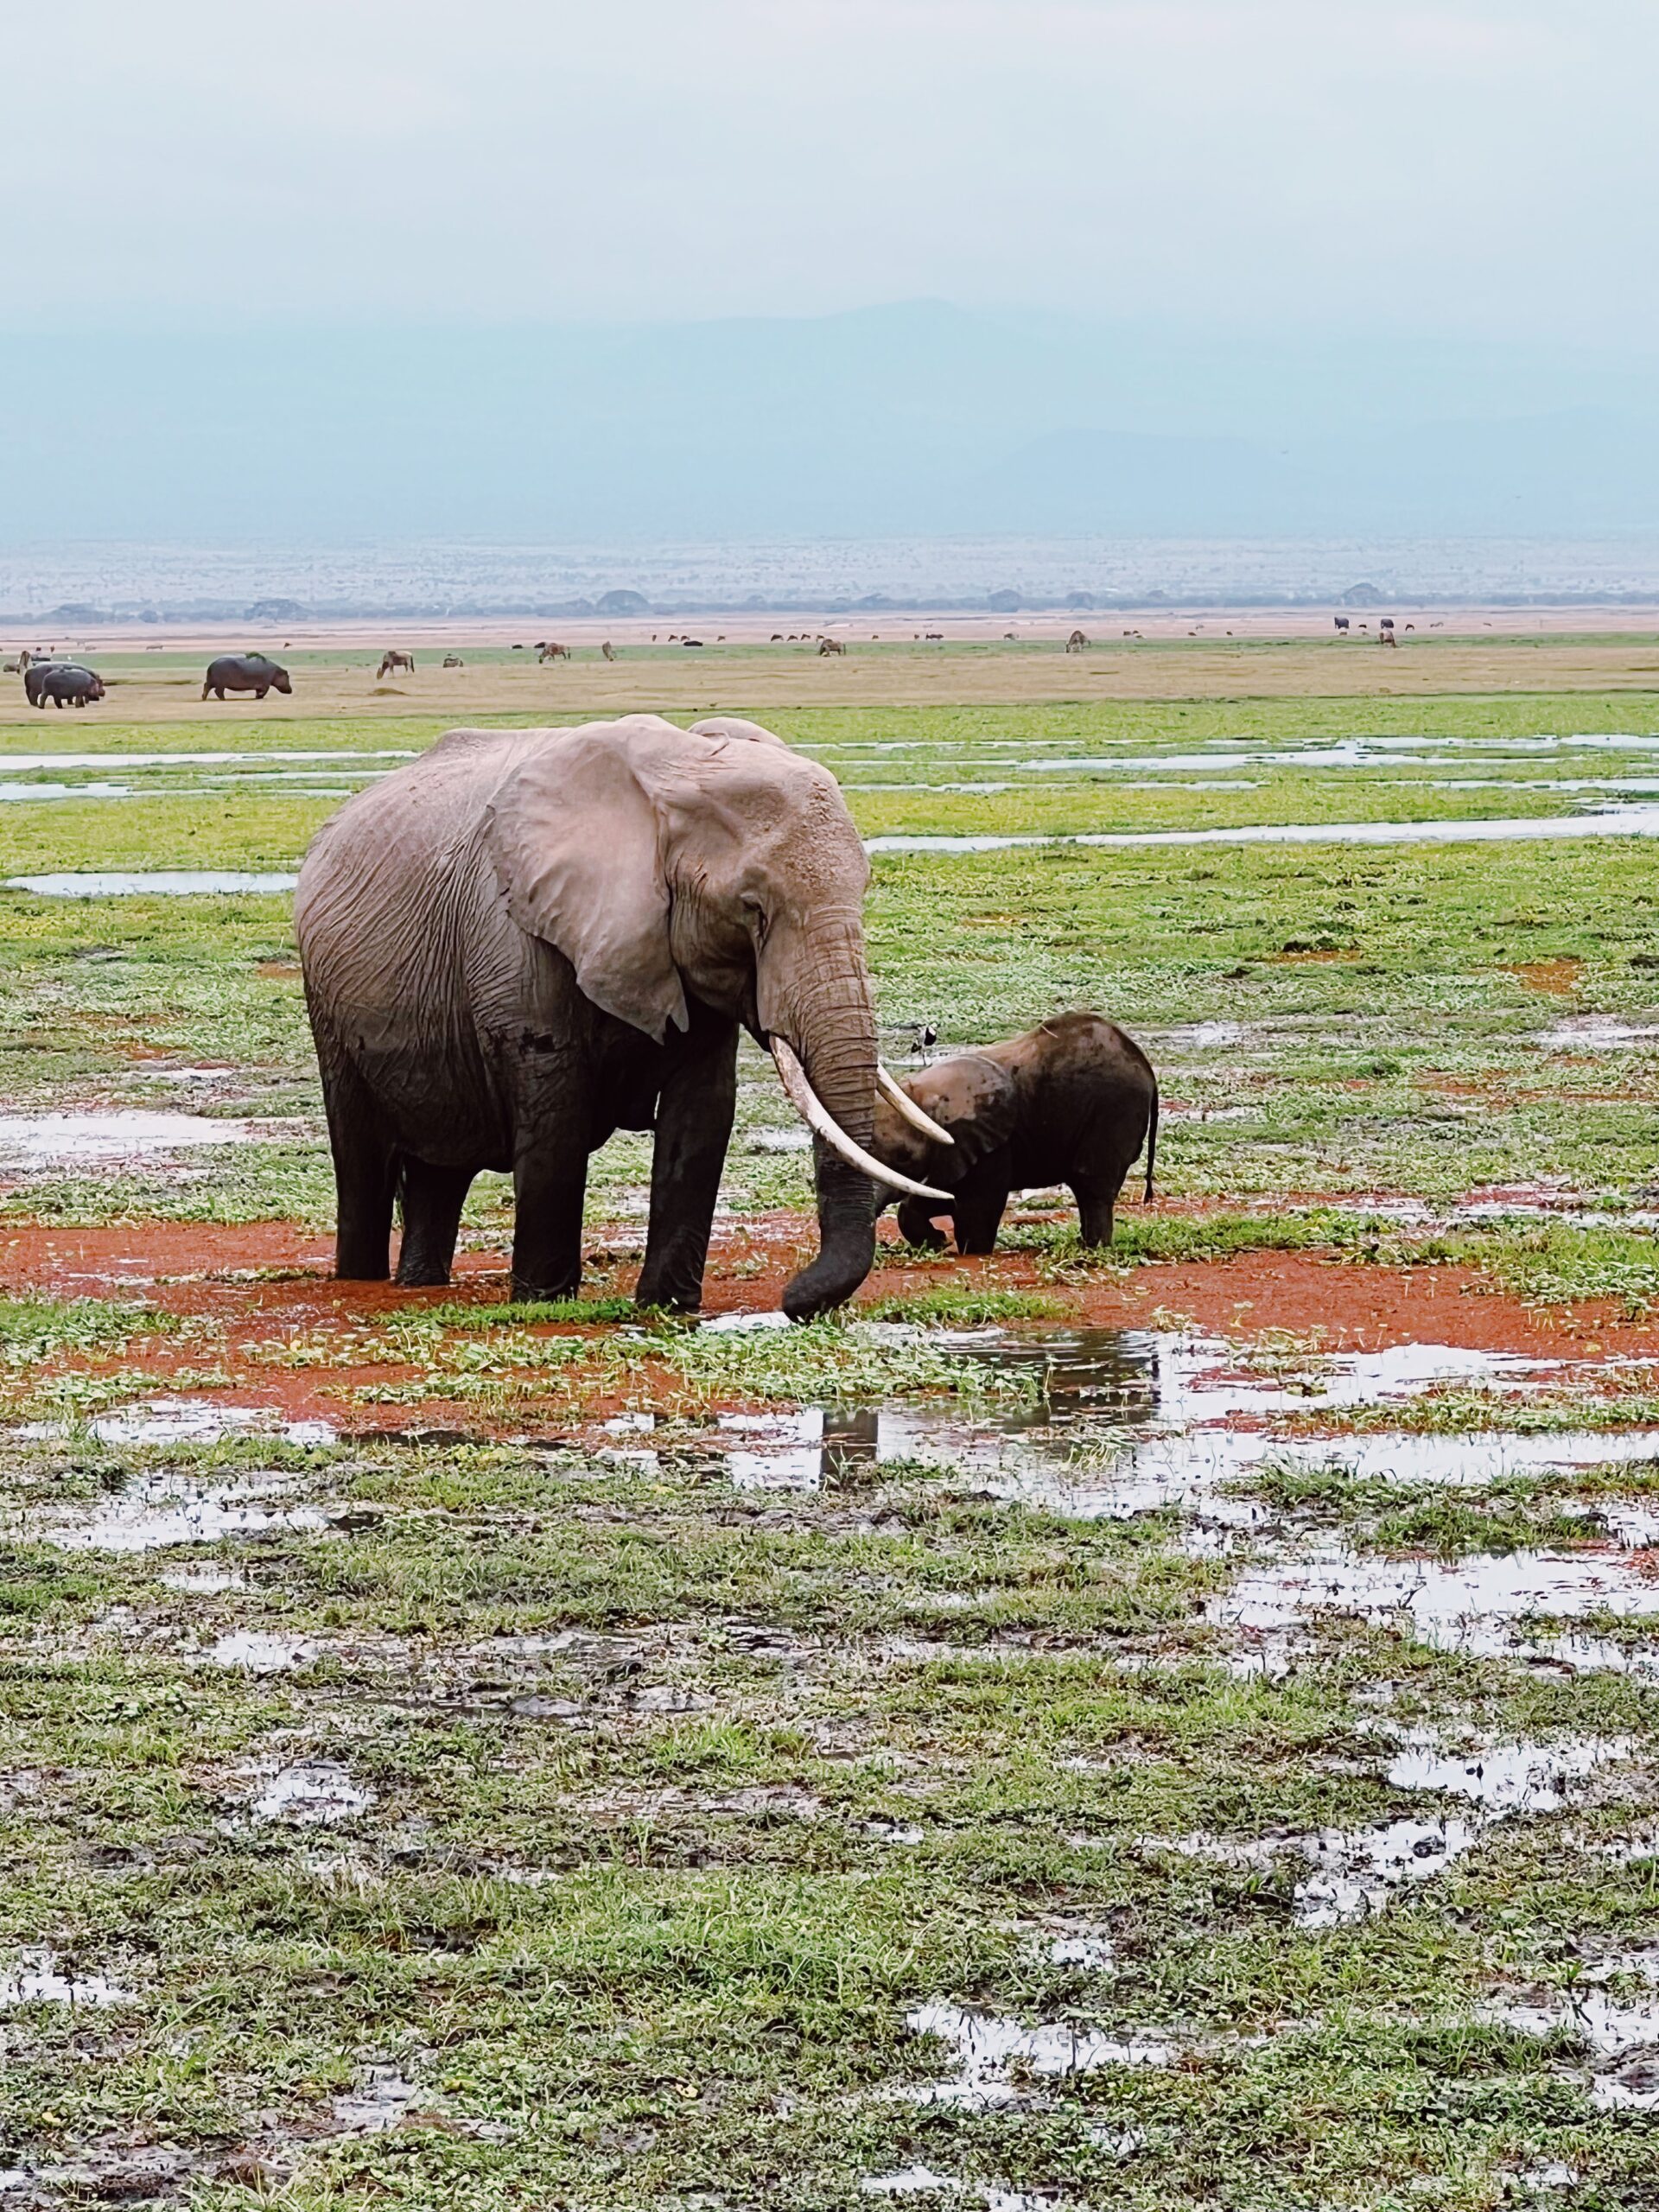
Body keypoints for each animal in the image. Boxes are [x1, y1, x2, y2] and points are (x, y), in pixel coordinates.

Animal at [294, 716, 955, 1318]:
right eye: (751, 909)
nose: (792, 1301)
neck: (677, 774)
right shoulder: (517, 938)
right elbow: (557, 1117)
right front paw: (543, 1304)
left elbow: (702, 1113)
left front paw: (669, 1306)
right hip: (327, 1007)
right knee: (362, 1161)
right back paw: (362, 1279)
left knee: (440, 1170)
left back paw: (419, 1285)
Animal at [875, 1013, 1159, 1256]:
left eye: (903, 1157)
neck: (922, 1095)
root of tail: (1146, 1067)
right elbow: (944, 1196)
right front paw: (939, 1242)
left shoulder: (992, 1145)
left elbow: (977, 1206)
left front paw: (966, 1250)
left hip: (1115, 1110)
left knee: (1093, 1184)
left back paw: (1094, 1248)